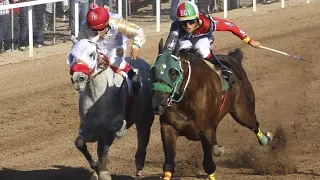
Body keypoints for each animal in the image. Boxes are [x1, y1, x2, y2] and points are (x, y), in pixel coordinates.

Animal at [67, 38, 154, 179]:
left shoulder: (113, 128)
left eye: (91, 54)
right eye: (71, 56)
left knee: (141, 148)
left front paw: (103, 172)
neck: (96, 97)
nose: (78, 79)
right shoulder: (89, 128)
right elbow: (79, 143)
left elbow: (103, 150)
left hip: (145, 118)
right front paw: (96, 167)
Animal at [150, 39, 272, 180]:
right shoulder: (168, 127)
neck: (187, 99)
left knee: (253, 124)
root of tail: (233, 59)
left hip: (242, 111)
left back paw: (265, 139)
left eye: (173, 72)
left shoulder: (206, 132)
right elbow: (169, 164)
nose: (157, 105)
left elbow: (208, 165)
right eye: (153, 71)